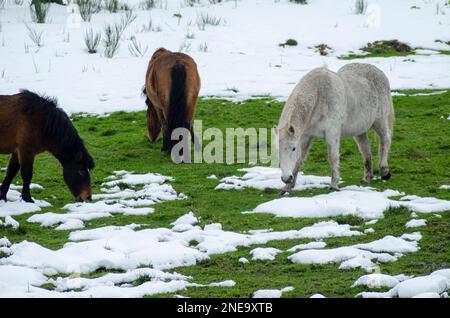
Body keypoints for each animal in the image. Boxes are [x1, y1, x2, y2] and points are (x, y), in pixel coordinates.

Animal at [278, 63, 394, 193]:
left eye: (293, 148)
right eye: (278, 149)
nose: (286, 178)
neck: (319, 97)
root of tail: (380, 72)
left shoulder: (332, 134)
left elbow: (332, 157)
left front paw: (334, 184)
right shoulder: (306, 136)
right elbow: (299, 160)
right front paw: (287, 187)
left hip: (380, 121)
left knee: (385, 140)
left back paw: (384, 171)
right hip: (360, 129)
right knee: (365, 149)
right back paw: (367, 177)